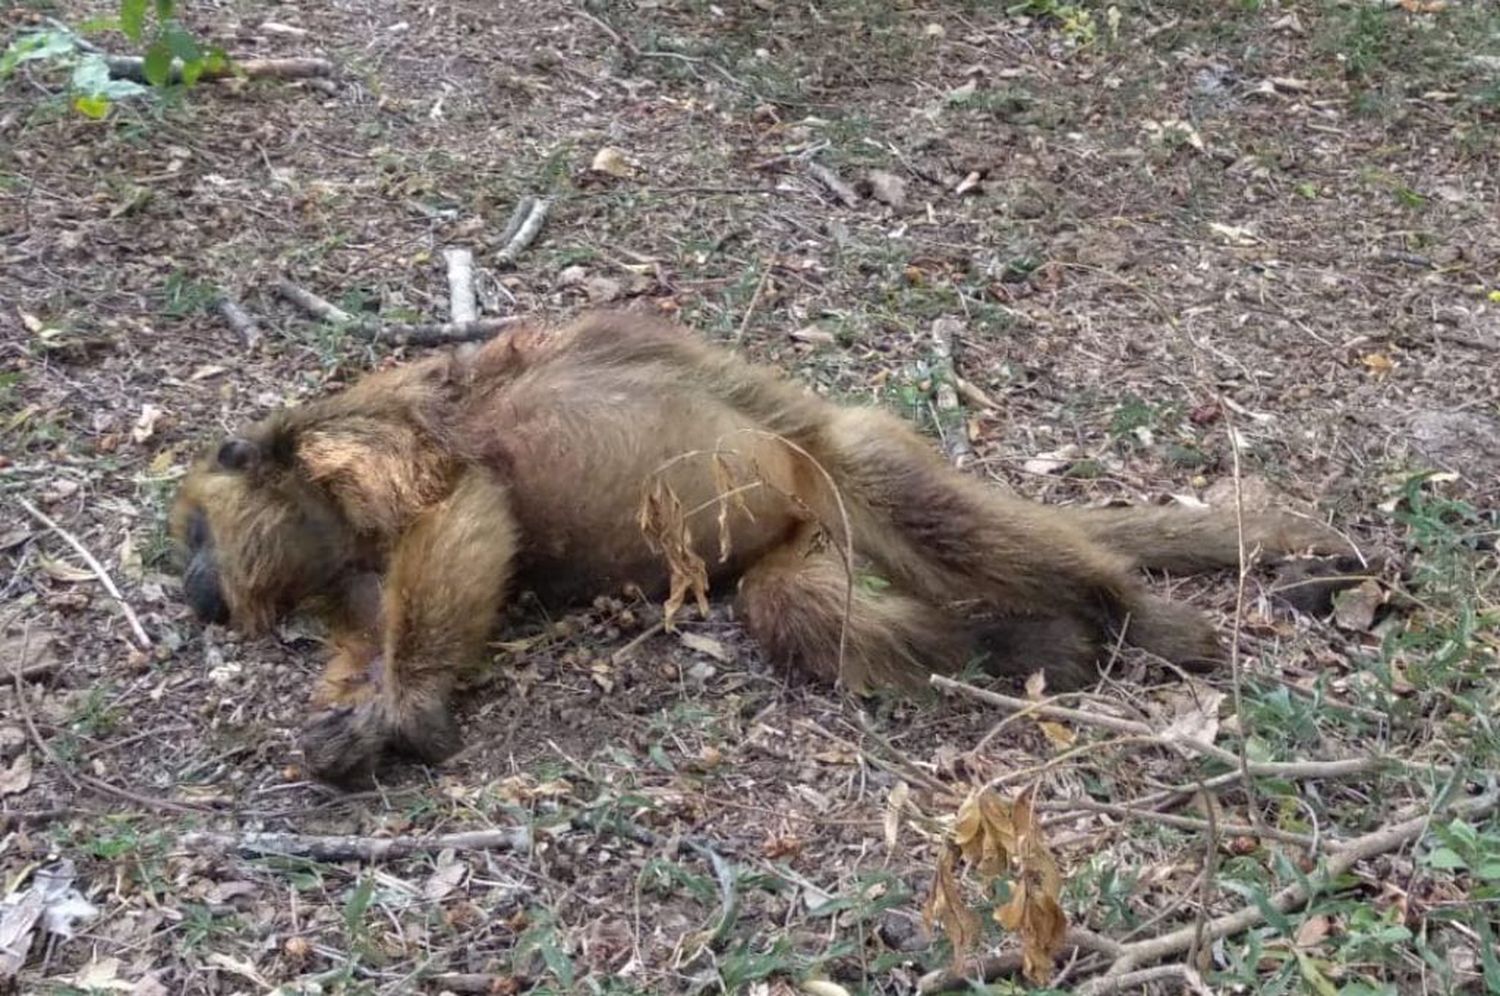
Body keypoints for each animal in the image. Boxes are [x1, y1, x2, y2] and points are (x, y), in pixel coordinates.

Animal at [170, 312, 1356, 786]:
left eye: (190, 532)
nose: (190, 590)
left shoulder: (359, 438)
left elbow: (467, 501)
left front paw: (402, 710)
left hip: (827, 462)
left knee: (900, 493)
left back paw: (1122, 611)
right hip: (799, 540)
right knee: (799, 608)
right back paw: (1031, 647)